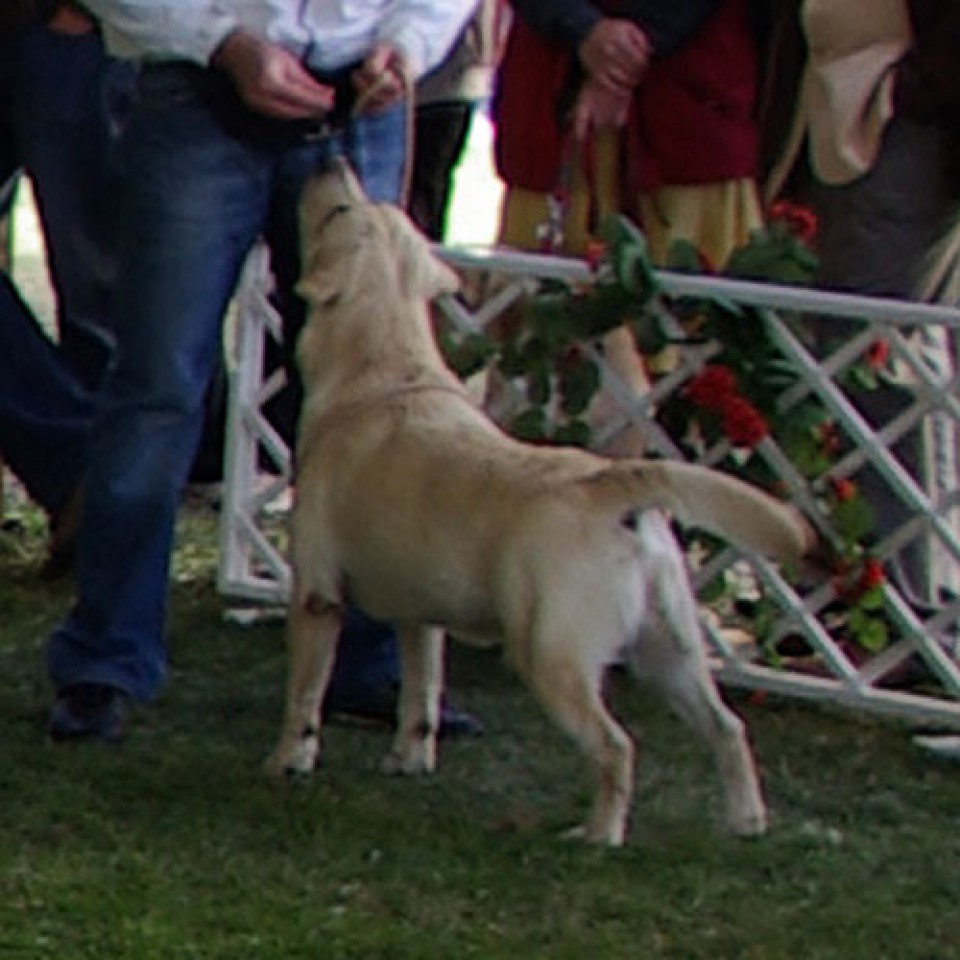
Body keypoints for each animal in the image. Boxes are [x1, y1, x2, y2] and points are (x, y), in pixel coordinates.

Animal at [266, 159, 812, 848]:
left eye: (340, 211)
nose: (329, 158)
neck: (386, 364)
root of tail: (614, 484)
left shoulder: (315, 593)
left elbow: (303, 695)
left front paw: (288, 761)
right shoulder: (421, 613)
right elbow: (421, 690)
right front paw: (409, 759)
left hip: (553, 653)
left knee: (617, 748)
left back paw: (598, 834)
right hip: (669, 649)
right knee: (728, 726)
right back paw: (745, 820)